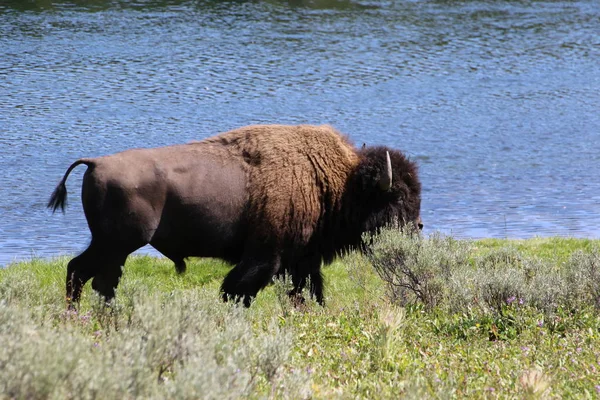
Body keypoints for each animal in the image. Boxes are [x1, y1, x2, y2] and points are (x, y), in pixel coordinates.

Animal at [48, 124, 422, 306]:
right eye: (398, 196)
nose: (417, 228)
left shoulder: (303, 260)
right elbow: (237, 292)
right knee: (90, 277)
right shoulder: (265, 258)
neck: (336, 180)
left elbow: (308, 294)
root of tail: (97, 162)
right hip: (117, 245)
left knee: (85, 276)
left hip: (110, 247)